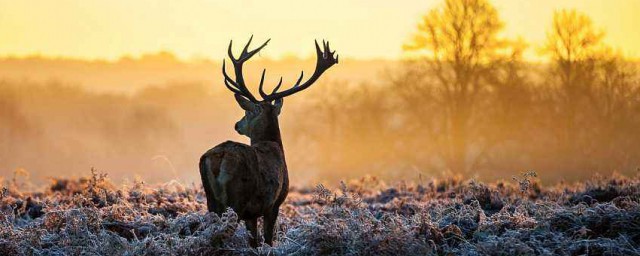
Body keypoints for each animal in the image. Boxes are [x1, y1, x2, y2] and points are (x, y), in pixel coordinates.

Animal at [199, 36, 340, 246]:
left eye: (247, 113)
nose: (237, 124)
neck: (274, 145)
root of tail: (220, 156)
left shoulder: (252, 214)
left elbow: (254, 243)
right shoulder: (274, 203)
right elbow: (267, 240)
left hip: (212, 201)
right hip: (237, 199)